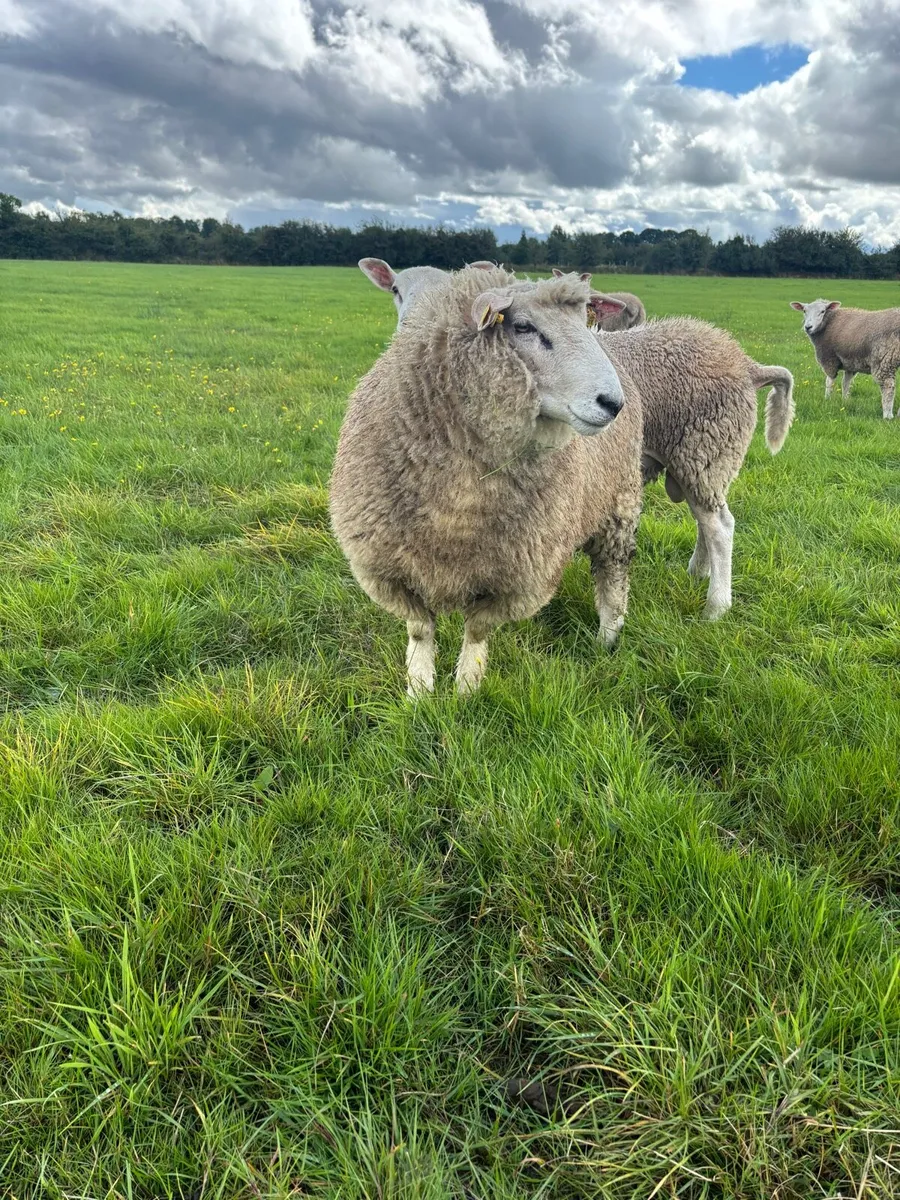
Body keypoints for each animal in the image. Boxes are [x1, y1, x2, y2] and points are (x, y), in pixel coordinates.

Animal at [330, 268, 644, 696]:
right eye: (524, 327)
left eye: (584, 323)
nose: (612, 403)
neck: (457, 506)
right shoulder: (387, 566)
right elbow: (419, 630)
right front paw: (419, 691)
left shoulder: (516, 575)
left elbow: (477, 632)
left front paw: (466, 689)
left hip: (618, 506)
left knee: (613, 576)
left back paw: (606, 641)